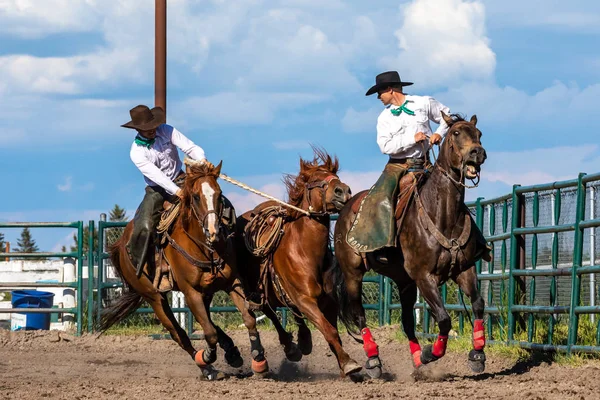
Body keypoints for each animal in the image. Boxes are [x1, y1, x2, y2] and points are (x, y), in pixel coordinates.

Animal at [98, 159, 268, 378]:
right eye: (195, 196)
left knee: (207, 322)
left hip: (205, 292)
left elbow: (248, 319)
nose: (213, 231)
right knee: (179, 334)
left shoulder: (232, 283)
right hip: (154, 297)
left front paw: (259, 360)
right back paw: (207, 369)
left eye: (219, 193)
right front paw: (207, 357)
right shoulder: (190, 291)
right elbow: (209, 333)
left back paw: (231, 352)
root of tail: (121, 245)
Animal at [234, 149, 360, 378]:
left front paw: (345, 366)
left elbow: (332, 332)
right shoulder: (305, 300)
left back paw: (303, 340)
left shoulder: (327, 303)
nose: (343, 191)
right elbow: (328, 331)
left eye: (334, 175)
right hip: (257, 291)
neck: (305, 252)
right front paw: (349, 364)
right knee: (270, 313)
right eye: (316, 180)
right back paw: (291, 347)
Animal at [330, 113, 490, 378]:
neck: (443, 214)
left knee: (406, 321)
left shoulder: (463, 269)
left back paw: (415, 362)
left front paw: (477, 355)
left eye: (479, 134)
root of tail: (345, 210)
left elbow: (477, 305)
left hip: (403, 281)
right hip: (353, 274)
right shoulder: (424, 275)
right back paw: (374, 361)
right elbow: (443, 318)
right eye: (456, 133)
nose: (477, 152)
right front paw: (430, 354)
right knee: (359, 314)